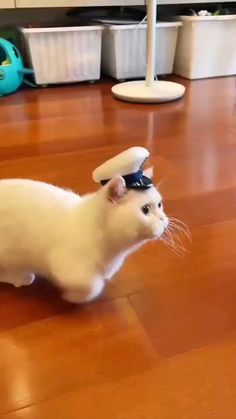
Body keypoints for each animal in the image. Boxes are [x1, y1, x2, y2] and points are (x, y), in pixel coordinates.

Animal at [0, 172, 168, 304]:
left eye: (160, 205)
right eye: (145, 209)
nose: (163, 219)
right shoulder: (65, 266)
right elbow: (93, 286)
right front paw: (70, 296)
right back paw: (20, 277)